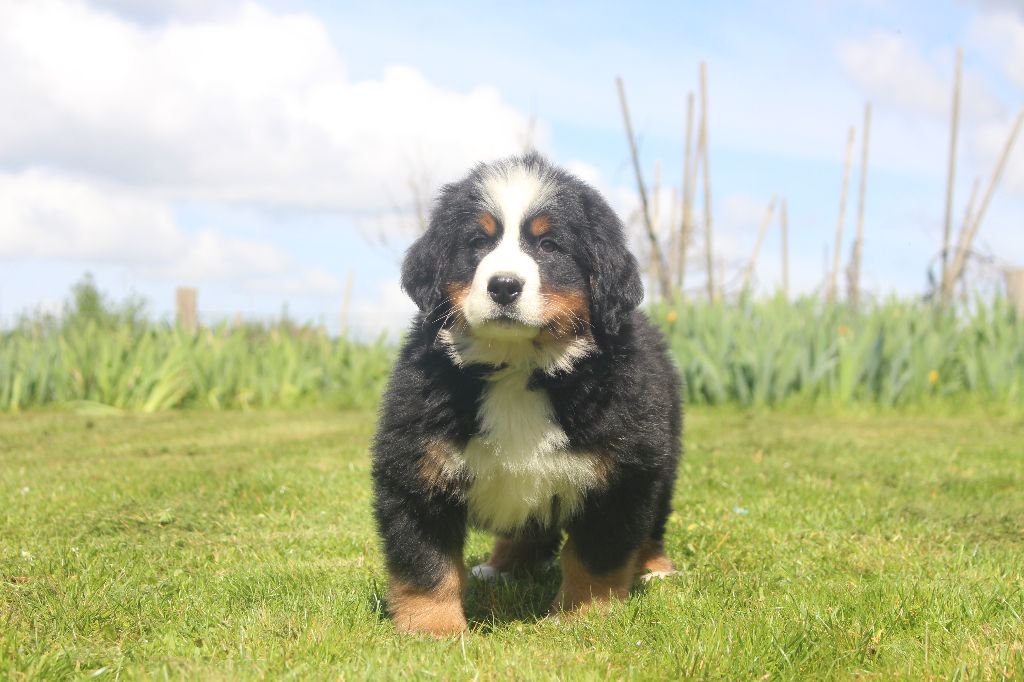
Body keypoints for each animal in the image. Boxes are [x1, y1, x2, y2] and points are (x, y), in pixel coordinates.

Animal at [372, 152, 684, 630]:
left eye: (549, 245)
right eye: (477, 242)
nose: (503, 285)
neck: (519, 368)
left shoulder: (621, 474)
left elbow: (594, 557)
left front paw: (582, 616)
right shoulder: (414, 464)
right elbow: (425, 560)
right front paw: (433, 630)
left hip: (662, 455)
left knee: (652, 520)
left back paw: (654, 567)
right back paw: (501, 565)